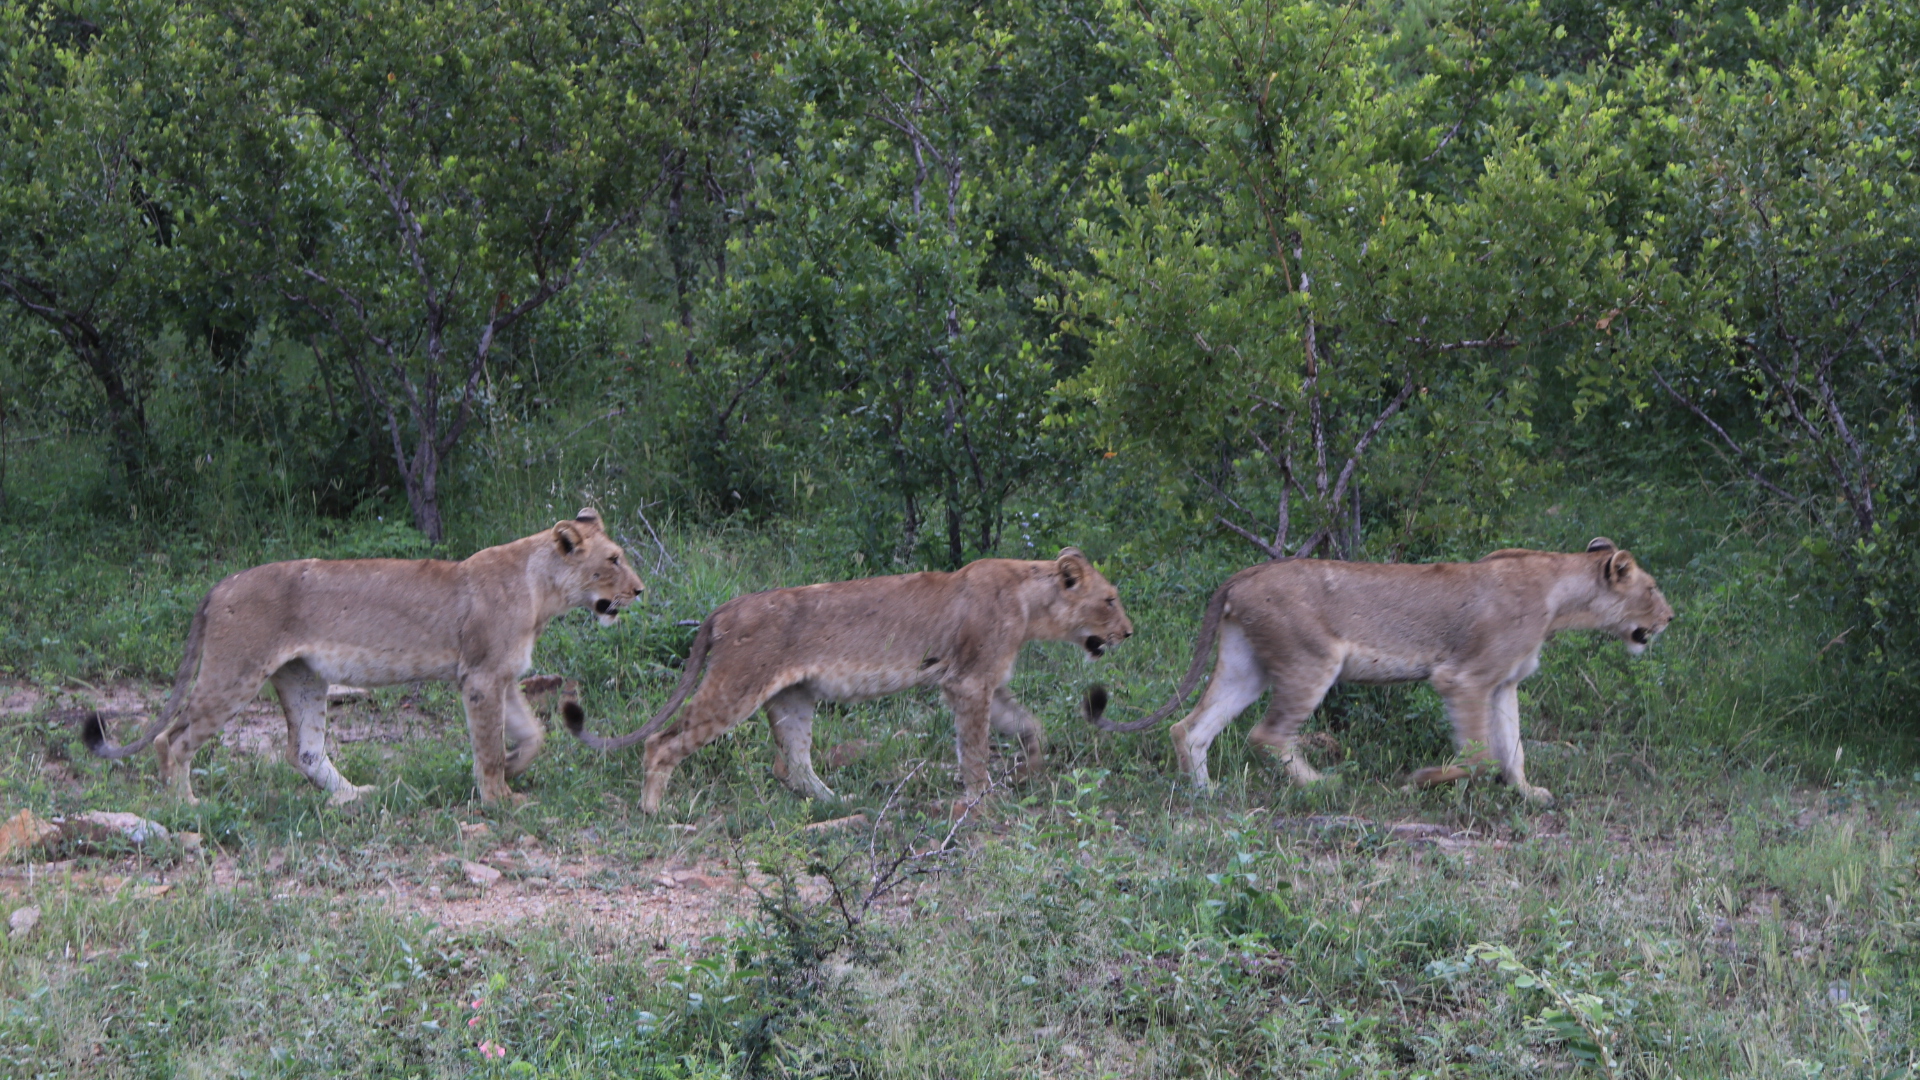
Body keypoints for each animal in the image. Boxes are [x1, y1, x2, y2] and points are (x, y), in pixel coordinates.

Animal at [84, 503, 645, 799]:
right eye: (614, 559)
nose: (640, 591)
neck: (541, 592)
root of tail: (220, 584)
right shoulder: (481, 678)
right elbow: (486, 746)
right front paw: (499, 798)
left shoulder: (502, 676)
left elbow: (534, 736)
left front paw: (511, 769)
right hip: (234, 673)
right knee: (173, 739)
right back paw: (187, 806)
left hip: (303, 678)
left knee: (304, 750)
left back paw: (354, 798)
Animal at [560, 545, 1128, 807]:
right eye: (1109, 599)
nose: (1129, 630)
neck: (1032, 606)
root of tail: (725, 608)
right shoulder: (967, 682)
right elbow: (974, 747)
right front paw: (979, 797)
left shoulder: (986, 682)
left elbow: (1031, 725)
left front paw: (1033, 772)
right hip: (734, 687)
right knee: (662, 741)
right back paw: (655, 810)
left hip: (792, 698)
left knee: (794, 764)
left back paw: (838, 803)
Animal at [1090, 534, 1674, 803]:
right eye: (1650, 589)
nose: (1670, 617)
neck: (1560, 596)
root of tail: (1246, 572)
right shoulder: (1462, 678)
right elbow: (1480, 756)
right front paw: (1422, 780)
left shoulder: (1503, 683)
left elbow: (1514, 749)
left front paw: (1529, 794)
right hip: (1311, 661)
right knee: (1266, 734)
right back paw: (1322, 785)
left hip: (1245, 668)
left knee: (1189, 727)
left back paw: (1206, 794)